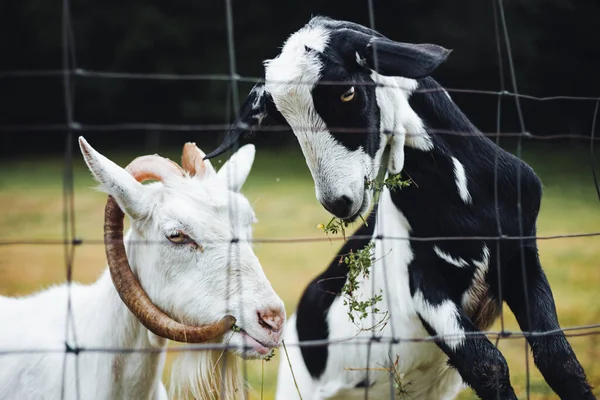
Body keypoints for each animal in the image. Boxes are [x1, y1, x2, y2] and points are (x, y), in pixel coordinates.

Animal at [209, 16, 592, 400]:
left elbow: (559, 360)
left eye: (348, 92)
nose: (338, 201)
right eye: (285, 119)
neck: (466, 207)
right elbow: (487, 364)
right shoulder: (419, 279)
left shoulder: (522, 255)